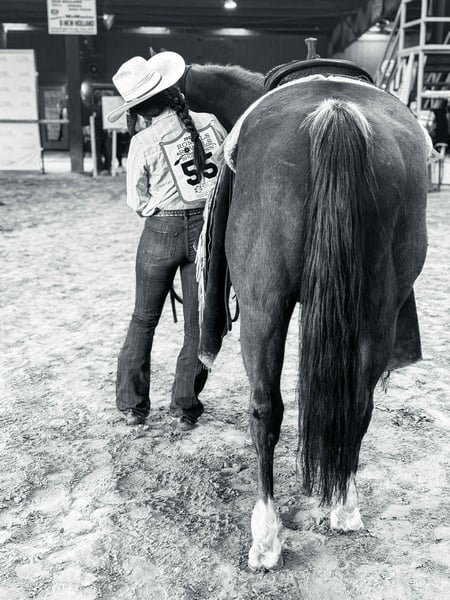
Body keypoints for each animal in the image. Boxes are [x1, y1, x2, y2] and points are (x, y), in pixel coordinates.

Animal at [180, 60, 429, 570]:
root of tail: (334, 113)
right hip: (377, 309)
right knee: (359, 404)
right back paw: (345, 507)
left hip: (263, 308)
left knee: (264, 409)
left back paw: (266, 537)